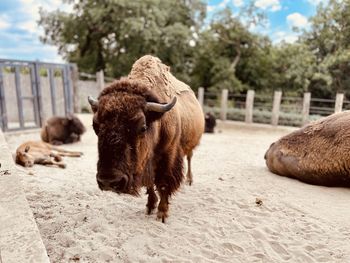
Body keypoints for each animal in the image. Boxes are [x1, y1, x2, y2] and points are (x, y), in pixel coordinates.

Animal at [88, 55, 205, 223]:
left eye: (142, 127)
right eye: (95, 126)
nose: (109, 181)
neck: (157, 121)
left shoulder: (168, 157)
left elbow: (163, 184)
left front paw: (162, 214)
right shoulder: (145, 163)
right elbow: (150, 184)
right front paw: (150, 207)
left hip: (190, 145)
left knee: (189, 158)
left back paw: (189, 180)